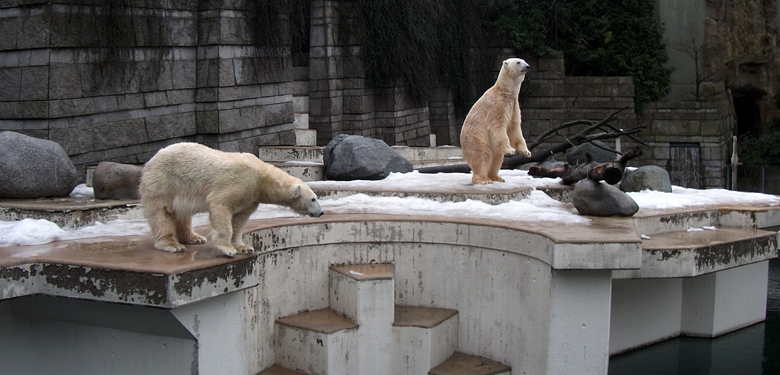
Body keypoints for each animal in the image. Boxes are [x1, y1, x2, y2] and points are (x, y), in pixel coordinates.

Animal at [139, 142, 322, 258]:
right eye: (313, 199)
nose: (321, 212)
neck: (261, 177)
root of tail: (151, 160)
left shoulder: (251, 197)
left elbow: (240, 219)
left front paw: (243, 247)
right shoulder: (238, 183)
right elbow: (220, 205)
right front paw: (227, 249)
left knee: (182, 214)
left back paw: (195, 238)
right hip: (164, 183)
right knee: (161, 213)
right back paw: (173, 245)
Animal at [460, 57, 532, 185]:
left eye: (524, 60)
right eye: (518, 62)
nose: (528, 67)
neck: (504, 91)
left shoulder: (514, 107)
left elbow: (514, 128)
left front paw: (527, 152)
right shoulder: (497, 106)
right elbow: (498, 127)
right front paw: (511, 151)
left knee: (497, 158)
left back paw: (497, 177)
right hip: (476, 139)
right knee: (483, 155)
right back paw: (483, 179)